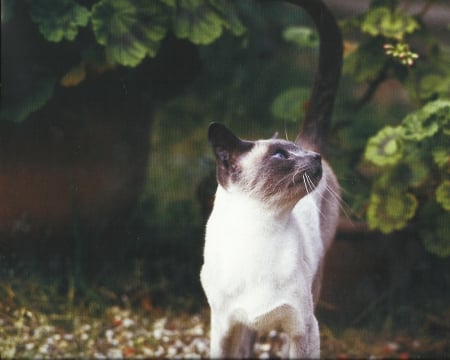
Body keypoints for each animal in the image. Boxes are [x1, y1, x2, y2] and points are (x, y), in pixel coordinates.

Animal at [200, 0, 342, 358]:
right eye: (280, 155)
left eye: (296, 152)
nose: (313, 158)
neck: (260, 230)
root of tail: (310, 137)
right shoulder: (224, 328)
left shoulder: (303, 329)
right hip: (242, 328)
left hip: (316, 287)